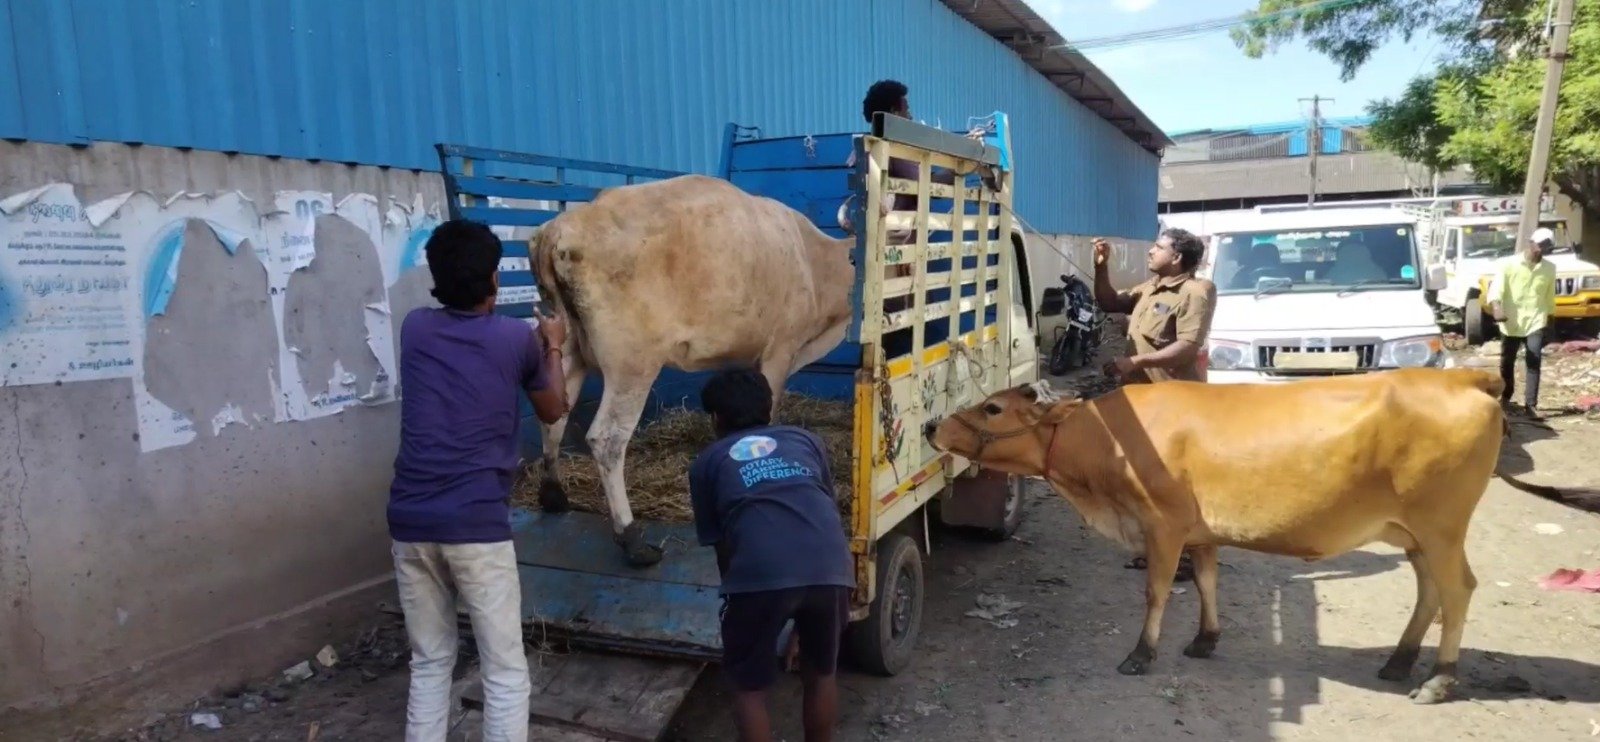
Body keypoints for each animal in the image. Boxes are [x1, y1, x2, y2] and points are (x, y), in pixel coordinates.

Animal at [534, 174, 864, 566]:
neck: (814, 261)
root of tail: (563, 226)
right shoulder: (779, 351)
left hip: (567, 348)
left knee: (555, 415)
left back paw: (553, 495)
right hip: (632, 365)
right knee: (607, 439)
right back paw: (631, 539)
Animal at [928, 367, 1587, 703]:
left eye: (993, 408)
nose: (934, 424)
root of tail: (1464, 375)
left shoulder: (1164, 524)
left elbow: (1158, 592)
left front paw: (1141, 653)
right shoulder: (1201, 530)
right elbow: (1207, 582)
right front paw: (1205, 640)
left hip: (1442, 524)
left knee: (1457, 591)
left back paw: (1439, 679)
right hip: (1413, 532)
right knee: (1429, 590)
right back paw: (1400, 662)